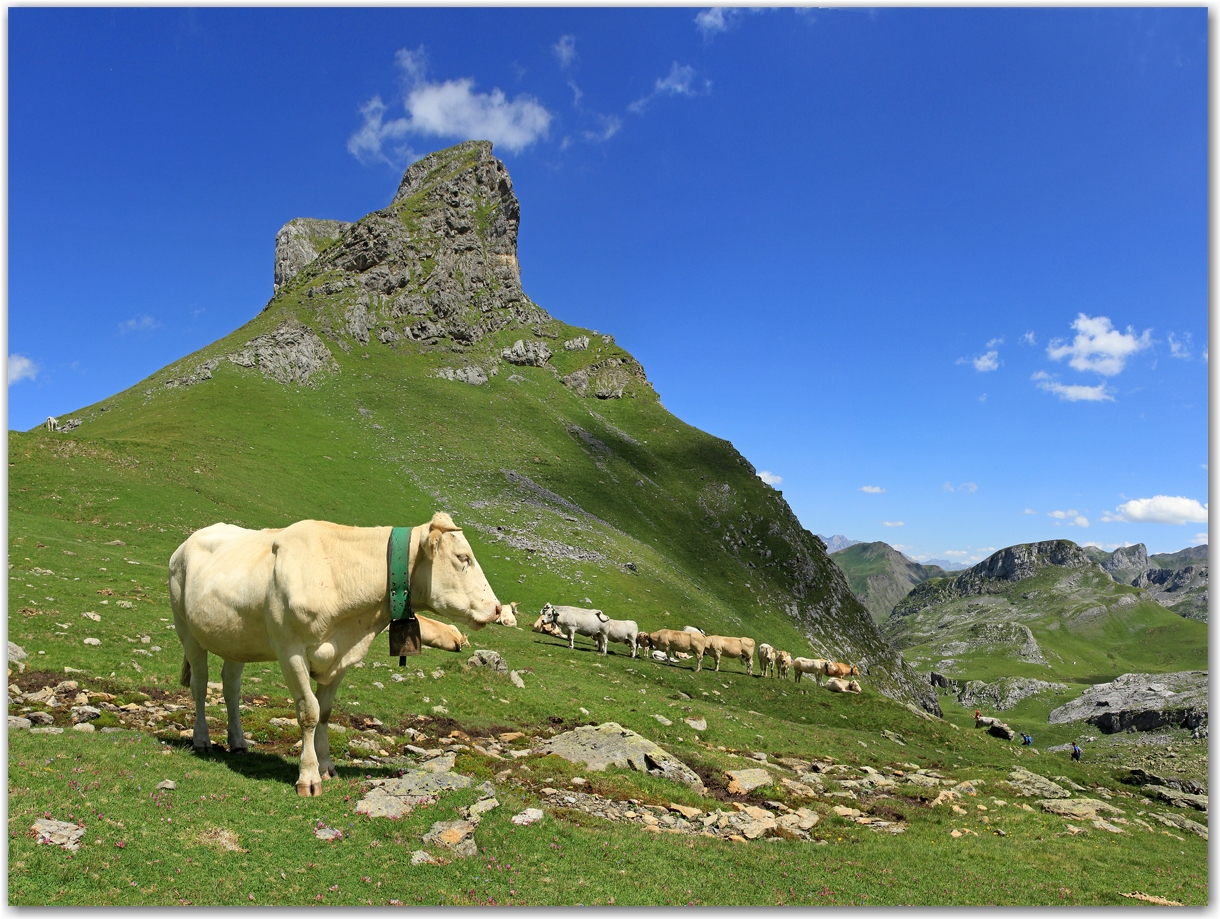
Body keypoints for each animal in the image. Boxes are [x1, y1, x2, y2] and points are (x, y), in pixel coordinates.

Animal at [168, 510, 500, 795]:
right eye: (462, 558)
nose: (497, 608)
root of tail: (184, 544)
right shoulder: (290, 651)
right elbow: (309, 712)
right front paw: (308, 777)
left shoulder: (341, 657)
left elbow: (325, 712)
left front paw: (326, 766)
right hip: (186, 629)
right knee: (200, 685)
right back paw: (202, 739)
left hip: (236, 640)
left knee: (230, 686)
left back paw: (237, 741)